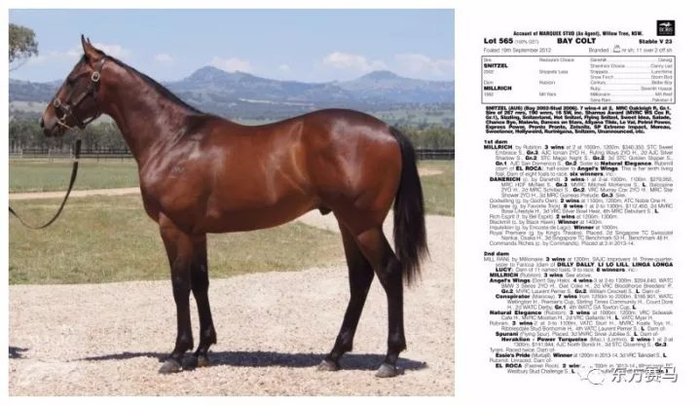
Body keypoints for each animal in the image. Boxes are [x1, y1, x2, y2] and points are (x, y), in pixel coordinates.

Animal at [40, 36, 428, 378]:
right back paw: (333, 356)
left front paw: (177, 353)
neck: (173, 138)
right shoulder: (196, 231)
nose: (46, 121)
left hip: (363, 224)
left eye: (72, 79)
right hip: (348, 224)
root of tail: (389, 130)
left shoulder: (172, 227)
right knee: (360, 279)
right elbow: (200, 282)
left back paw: (389, 359)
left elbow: (179, 284)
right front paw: (201, 351)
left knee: (389, 272)